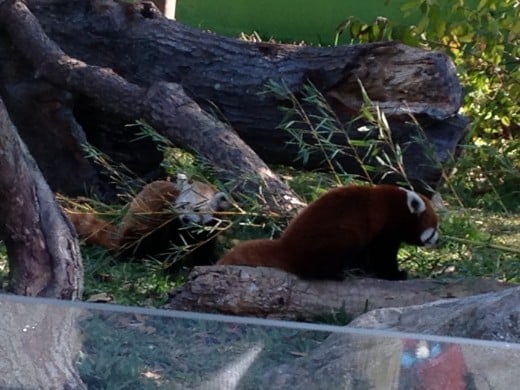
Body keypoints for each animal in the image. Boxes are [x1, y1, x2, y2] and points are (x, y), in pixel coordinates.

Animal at [66, 174, 230, 266]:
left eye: (197, 210)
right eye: (183, 206)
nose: (185, 218)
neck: (190, 230)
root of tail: (119, 238)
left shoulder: (211, 228)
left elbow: (205, 249)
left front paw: (205, 264)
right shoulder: (170, 222)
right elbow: (170, 246)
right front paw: (170, 268)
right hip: (138, 227)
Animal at [217, 184, 440, 278]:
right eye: (435, 227)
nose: (438, 239)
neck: (399, 205)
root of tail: (287, 245)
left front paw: (365, 270)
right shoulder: (385, 227)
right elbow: (381, 254)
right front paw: (395, 274)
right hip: (335, 238)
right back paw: (334, 275)